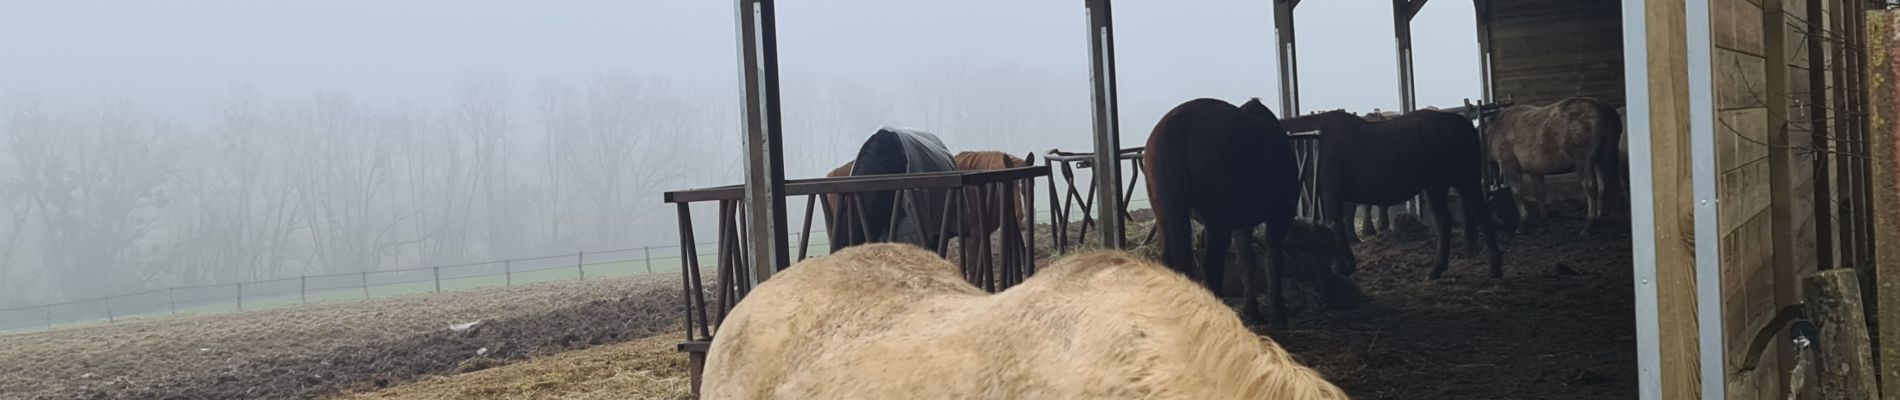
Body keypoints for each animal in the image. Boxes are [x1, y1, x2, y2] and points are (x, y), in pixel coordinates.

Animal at [1140, 97, 1307, 327]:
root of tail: (1175, 124)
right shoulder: (1279, 216)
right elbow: (1274, 260)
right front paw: (1278, 315)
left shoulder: (1241, 224)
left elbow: (1246, 262)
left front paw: (1253, 312)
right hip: (1216, 222)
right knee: (1212, 264)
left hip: (1167, 214)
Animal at [1284, 107, 1504, 280]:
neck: (1312, 140)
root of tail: (1463, 123)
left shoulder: (1330, 194)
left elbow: (1335, 226)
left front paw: (1343, 268)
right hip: (1440, 186)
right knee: (1448, 221)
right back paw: (1438, 270)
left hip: (1462, 182)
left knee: (1478, 215)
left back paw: (1492, 267)